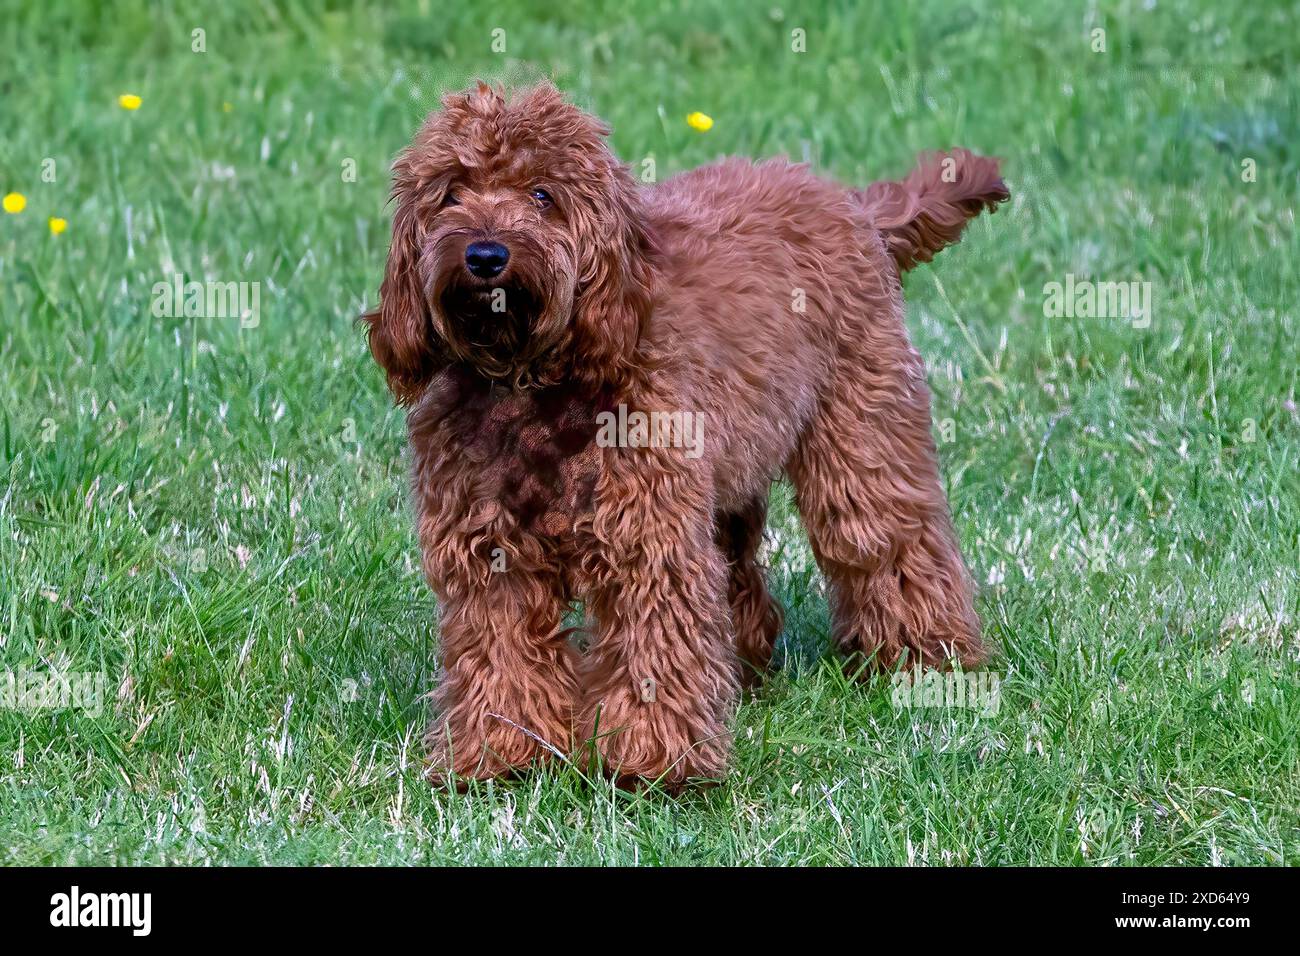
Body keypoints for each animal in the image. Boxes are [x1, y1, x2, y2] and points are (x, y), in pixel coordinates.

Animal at [361, 82, 1008, 790]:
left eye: (542, 195)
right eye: (451, 192)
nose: (484, 255)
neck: (535, 380)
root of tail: (851, 204)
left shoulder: (648, 536)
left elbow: (655, 646)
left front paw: (651, 765)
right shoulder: (491, 551)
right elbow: (500, 654)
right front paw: (500, 757)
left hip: (861, 440)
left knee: (891, 542)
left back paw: (927, 660)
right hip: (729, 479)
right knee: (739, 574)